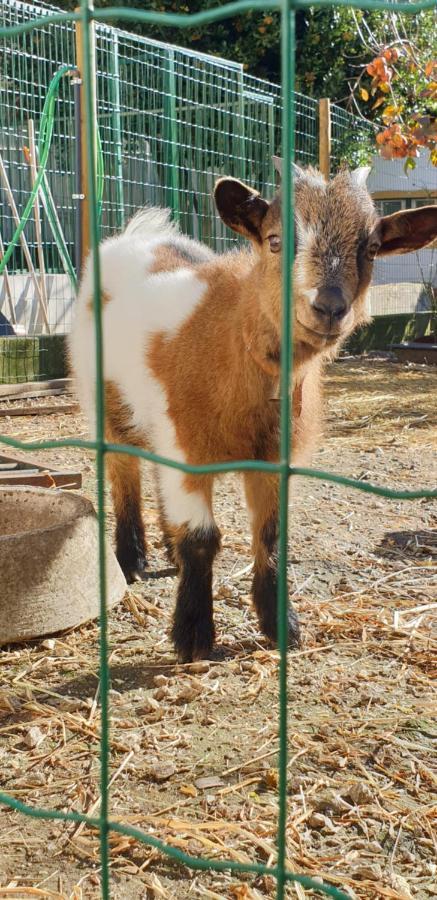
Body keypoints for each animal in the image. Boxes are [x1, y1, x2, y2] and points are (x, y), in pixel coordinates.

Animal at [70, 163, 436, 660]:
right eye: (274, 240)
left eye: (373, 248)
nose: (329, 306)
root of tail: (136, 236)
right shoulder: (189, 446)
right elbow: (203, 538)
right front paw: (193, 635)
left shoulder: (273, 459)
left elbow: (270, 537)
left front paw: (282, 626)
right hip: (104, 399)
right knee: (123, 471)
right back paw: (133, 560)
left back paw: (166, 549)